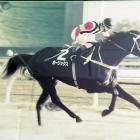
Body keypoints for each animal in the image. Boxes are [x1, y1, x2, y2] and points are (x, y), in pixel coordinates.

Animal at [2, 29, 140, 126]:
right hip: (46, 80)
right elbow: (115, 93)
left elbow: (130, 97)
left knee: (40, 103)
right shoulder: (93, 87)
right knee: (55, 99)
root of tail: (32, 56)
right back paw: (76, 117)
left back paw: (40, 123)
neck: (104, 59)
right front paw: (105, 112)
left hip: (50, 81)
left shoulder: (110, 84)